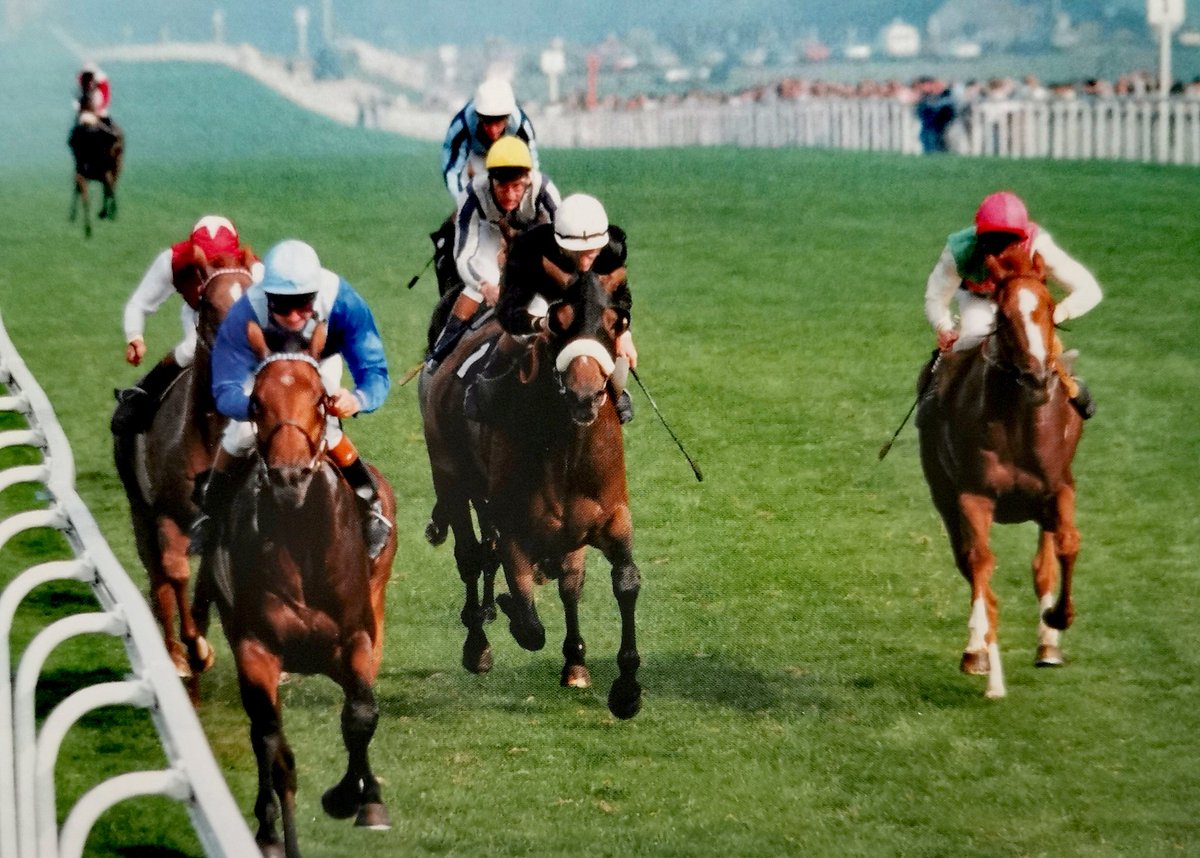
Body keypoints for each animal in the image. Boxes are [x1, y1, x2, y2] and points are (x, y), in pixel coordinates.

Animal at [112, 247, 255, 686]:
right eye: (209, 302)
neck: (207, 435)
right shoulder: (167, 515)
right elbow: (175, 575)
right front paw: (193, 648)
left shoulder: (220, 522)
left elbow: (208, 578)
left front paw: (203, 639)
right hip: (139, 513)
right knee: (158, 580)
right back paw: (174, 654)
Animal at [200, 324, 398, 858]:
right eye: (256, 402)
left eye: (321, 400)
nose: (289, 476)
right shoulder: (256, 648)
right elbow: (271, 740)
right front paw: (271, 831)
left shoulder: (356, 639)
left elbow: (362, 715)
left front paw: (357, 799)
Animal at [422, 270, 648, 720]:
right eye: (557, 326)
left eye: (613, 323)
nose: (585, 394)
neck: (566, 451)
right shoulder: (515, 530)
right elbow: (529, 623)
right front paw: (506, 607)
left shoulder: (611, 520)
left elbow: (622, 583)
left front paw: (624, 688)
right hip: (450, 476)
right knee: (470, 556)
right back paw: (478, 643)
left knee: (565, 580)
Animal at [916, 244, 1089, 700]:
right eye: (1004, 315)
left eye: (1049, 307)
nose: (1038, 377)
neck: (1018, 423)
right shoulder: (972, 496)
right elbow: (981, 567)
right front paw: (986, 666)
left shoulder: (1058, 487)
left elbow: (1066, 545)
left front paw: (1057, 620)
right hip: (943, 494)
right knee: (970, 563)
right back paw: (979, 653)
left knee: (1043, 562)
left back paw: (1047, 643)